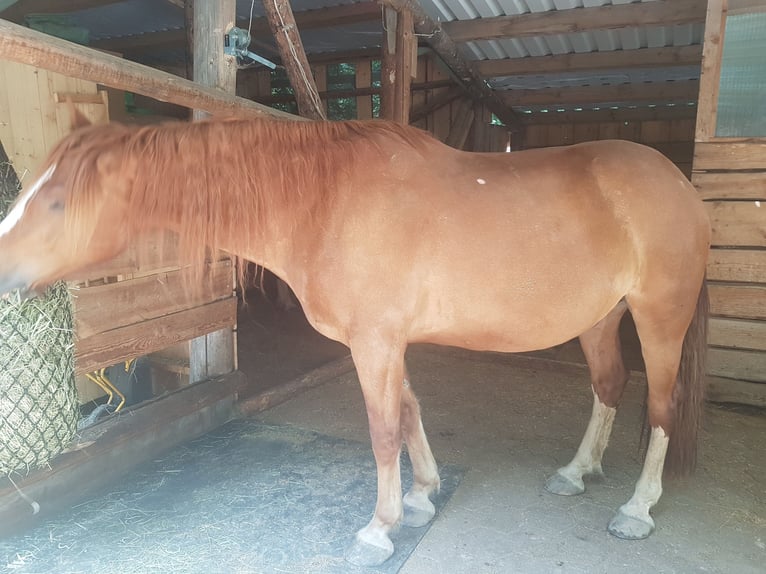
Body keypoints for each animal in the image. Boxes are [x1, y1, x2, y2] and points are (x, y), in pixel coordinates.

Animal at [0, 116, 712, 568]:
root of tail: (680, 183)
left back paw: (637, 509)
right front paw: (422, 497)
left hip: (660, 317)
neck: (325, 201)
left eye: (58, 202)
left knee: (660, 406)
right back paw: (576, 471)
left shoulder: (374, 343)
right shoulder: (390, 343)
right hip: (601, 319)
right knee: (609, 386)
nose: (3, 271)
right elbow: (410, 412)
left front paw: (380, 528)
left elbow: (383, 429)